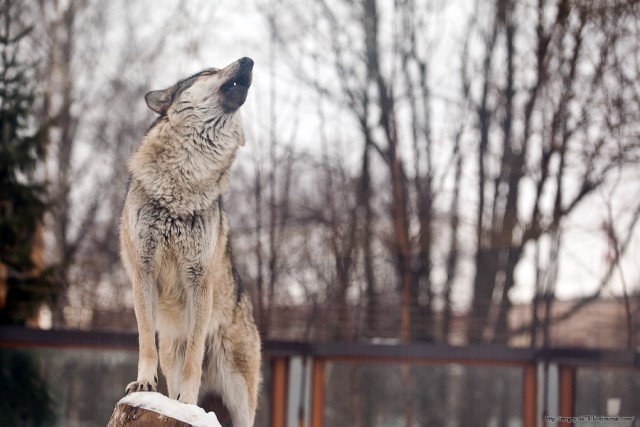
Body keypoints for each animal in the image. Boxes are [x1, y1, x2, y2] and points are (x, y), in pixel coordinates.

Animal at [120, 57, 260, 427]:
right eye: (209, 71)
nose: (248, 61)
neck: (181, 188)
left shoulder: (200, 280)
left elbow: (194, 356)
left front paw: (186, 402)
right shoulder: (143, 273)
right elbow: (145, 342)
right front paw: (144, 384)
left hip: (240, 395)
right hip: (172, 352)